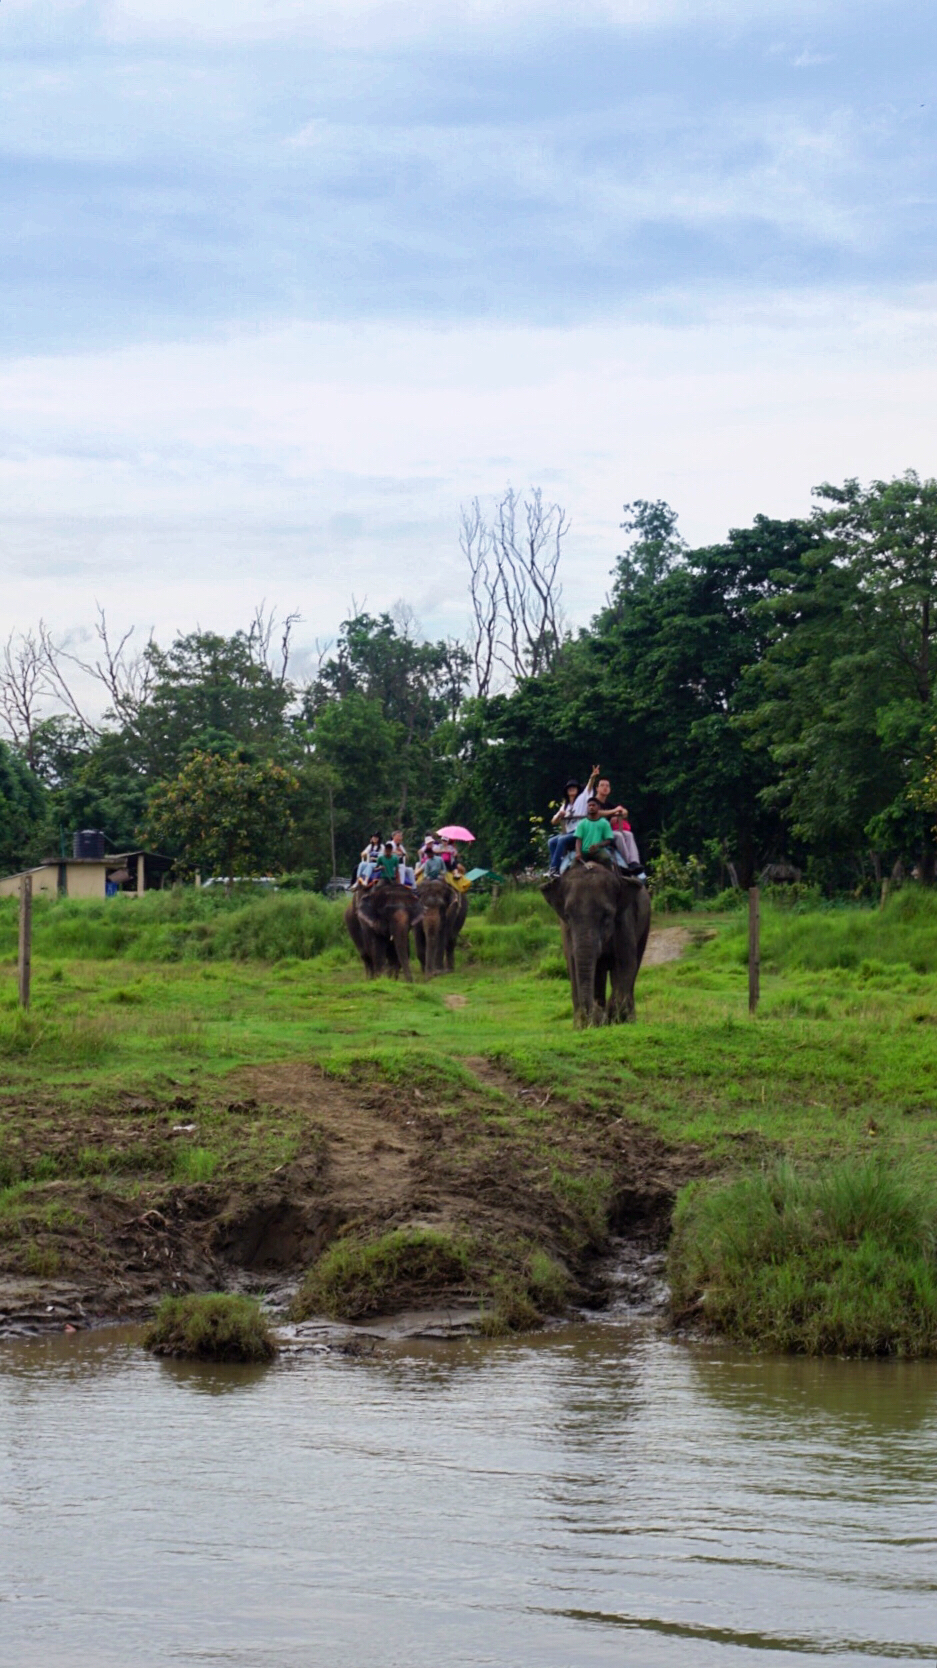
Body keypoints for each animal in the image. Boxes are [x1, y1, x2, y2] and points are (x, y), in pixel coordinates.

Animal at [540, 867, 650, 1020]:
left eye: (607, 915)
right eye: (567, 916)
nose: (595, 1010)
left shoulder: (624, 920)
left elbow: (625, 963)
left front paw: (615, 1018)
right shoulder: (566, 931)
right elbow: (572, 965)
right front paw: (587, 1022)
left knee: (636, 962)